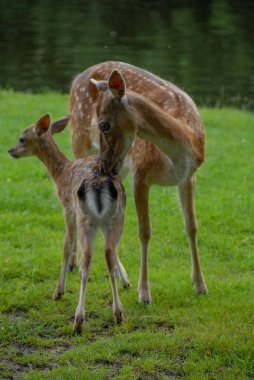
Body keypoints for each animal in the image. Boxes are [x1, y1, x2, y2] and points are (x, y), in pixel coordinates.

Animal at [70, 60, 208, 302]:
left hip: (120, 169)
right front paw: (144, 293)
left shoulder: (188, 177)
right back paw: (75, 264)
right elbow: (145, 232)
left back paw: (121, 276)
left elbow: (191, 227)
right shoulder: (141, 174)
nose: (103, 165)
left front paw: (200, 285)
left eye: (104, 124)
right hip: (79, 141)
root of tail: (76, 79)